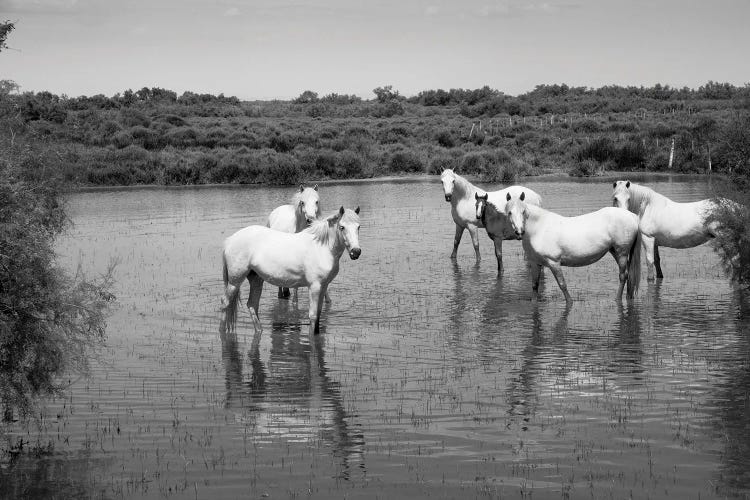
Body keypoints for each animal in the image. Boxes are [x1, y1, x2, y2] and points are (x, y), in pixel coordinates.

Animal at [223, 205, 362, 338]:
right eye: (342, 227)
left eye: (358, 227)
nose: (356, 252)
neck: (321, 247)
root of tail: (229, 240)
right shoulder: (315, 287)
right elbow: (313, 316)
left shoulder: (324, 286)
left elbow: (318, 316)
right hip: (235, 282)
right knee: (225, 303)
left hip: (256, 279)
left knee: (252, 305)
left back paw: (259, 331)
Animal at [502, 190, 644, 300]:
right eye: (509, 212)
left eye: (523, 211)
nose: (519, 232)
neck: (539, 228)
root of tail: (633, 216)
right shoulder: (535, 263)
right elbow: (535, 286)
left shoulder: (554, 262)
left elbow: (562, 285)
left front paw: (570, 302)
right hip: (614, 251)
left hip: (622, 252)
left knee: (623, 276)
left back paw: (617, 299)